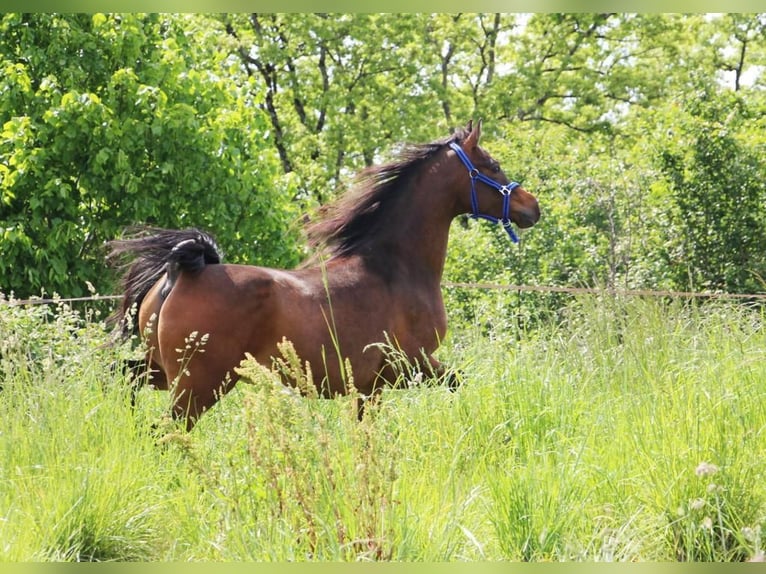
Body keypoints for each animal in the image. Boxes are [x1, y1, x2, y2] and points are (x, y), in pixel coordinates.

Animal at [106, 120, 540, 432]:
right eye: (493, 166)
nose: (532, 207)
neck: (395, 269)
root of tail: (181, 274)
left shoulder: (371, 386)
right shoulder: (409, 365)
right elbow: (459, 383)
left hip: (165, 371)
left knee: (125, 380)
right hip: (200, 384)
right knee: (164, 432)